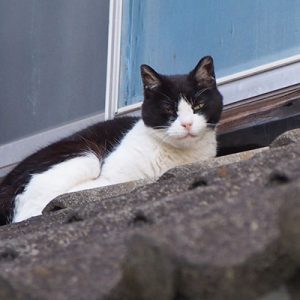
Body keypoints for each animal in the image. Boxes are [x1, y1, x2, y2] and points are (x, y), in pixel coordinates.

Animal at [0, 56, 223, 225]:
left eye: (198, 106)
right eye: (168, 109)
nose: (187, 124)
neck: (177, 157)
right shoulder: (107, 178)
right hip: (86, 157)